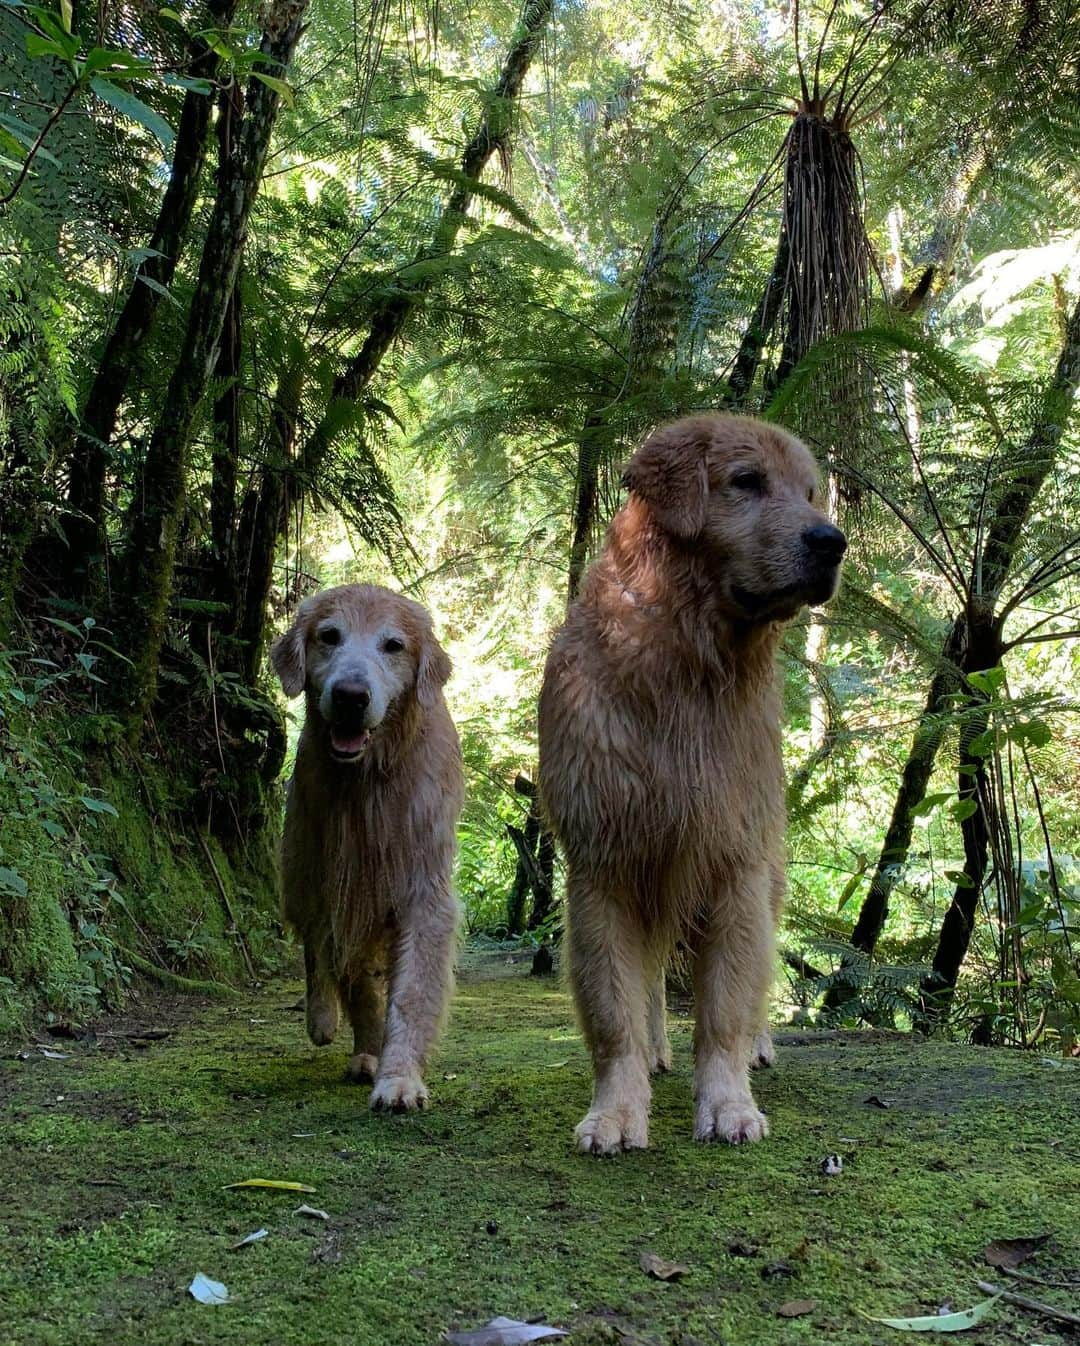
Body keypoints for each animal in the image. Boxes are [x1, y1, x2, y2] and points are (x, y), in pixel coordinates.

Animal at [272, 584, 460, 1109]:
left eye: (393, 645)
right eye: (329, 636)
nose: (351, 697)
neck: (370, 780)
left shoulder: (423, 892)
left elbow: (410, 994)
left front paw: (399, 1079)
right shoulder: (338, 886)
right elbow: (340, 965)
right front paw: (361, 1043)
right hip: (302, 866)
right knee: (317, 946)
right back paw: (328, 1022)